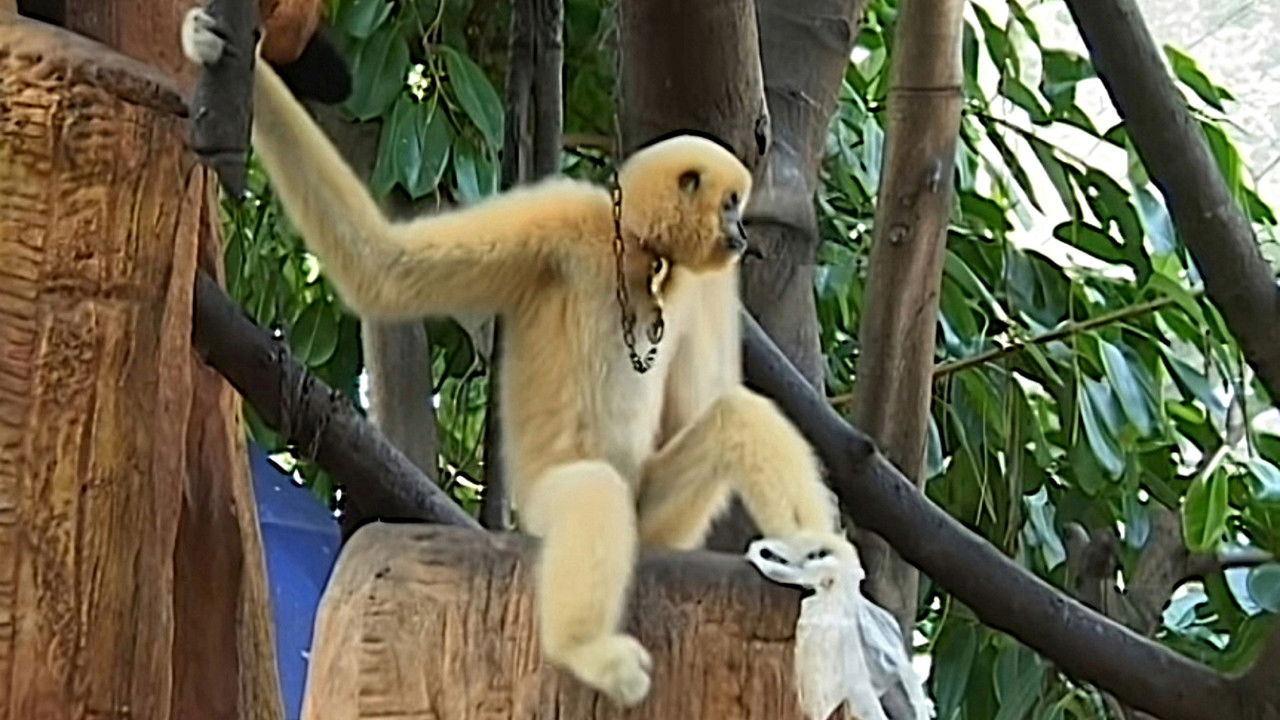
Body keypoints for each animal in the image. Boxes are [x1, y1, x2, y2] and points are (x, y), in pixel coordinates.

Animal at [183, 7, 852, 706]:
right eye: (729, 204)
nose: (743, 231)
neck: (642, 255)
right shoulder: (562, 219)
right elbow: (387, 269)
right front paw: (227, 55)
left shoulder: (710, 282)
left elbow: (707, 400)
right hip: (541, 509)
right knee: (591, 487)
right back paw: (590, 651)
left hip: (662, 521)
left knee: (733, 420)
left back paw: (817, 554)